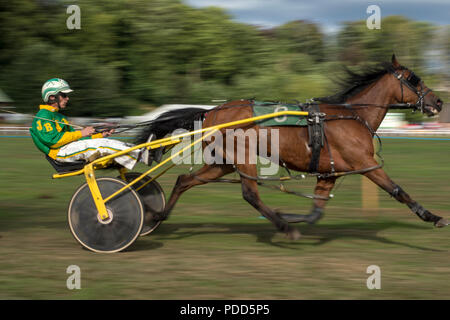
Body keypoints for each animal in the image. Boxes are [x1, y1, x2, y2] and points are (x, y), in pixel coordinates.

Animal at [135, 55, 448, 240]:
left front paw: (291, 215)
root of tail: (211, 111)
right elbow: (398, 191)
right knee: (250, 193)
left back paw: (158, 215)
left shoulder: (329, 172)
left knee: (184, 180)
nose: (438, 102)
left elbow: (316, 211)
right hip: (243, 157)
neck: (351, 116)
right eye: (414, 79)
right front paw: (432, 216)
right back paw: (284, 227)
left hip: (222, 163)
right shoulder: (365, 164)